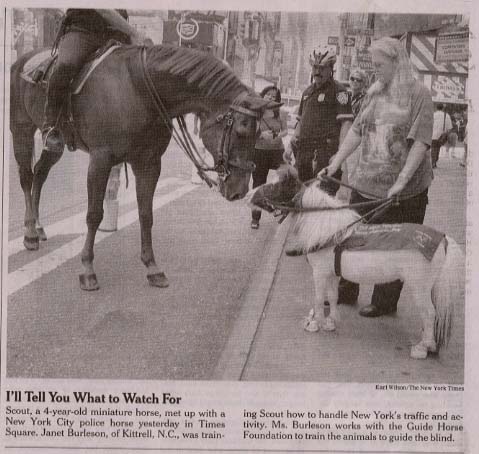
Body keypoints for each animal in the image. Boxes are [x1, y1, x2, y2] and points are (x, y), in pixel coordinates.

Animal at [10, 44, 278, 290]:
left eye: (259, 133)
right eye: (242, 129)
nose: (241, 190)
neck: (138, 90)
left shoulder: (148, 164)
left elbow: (146, 214)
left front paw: (152, 267)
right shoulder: (100, 161)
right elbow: (94, 214)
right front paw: (87, 268)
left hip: (55, 145)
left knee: (40, 174)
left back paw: (38, 226)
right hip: (22, 130)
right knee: (26, 177)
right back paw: (30, 233)